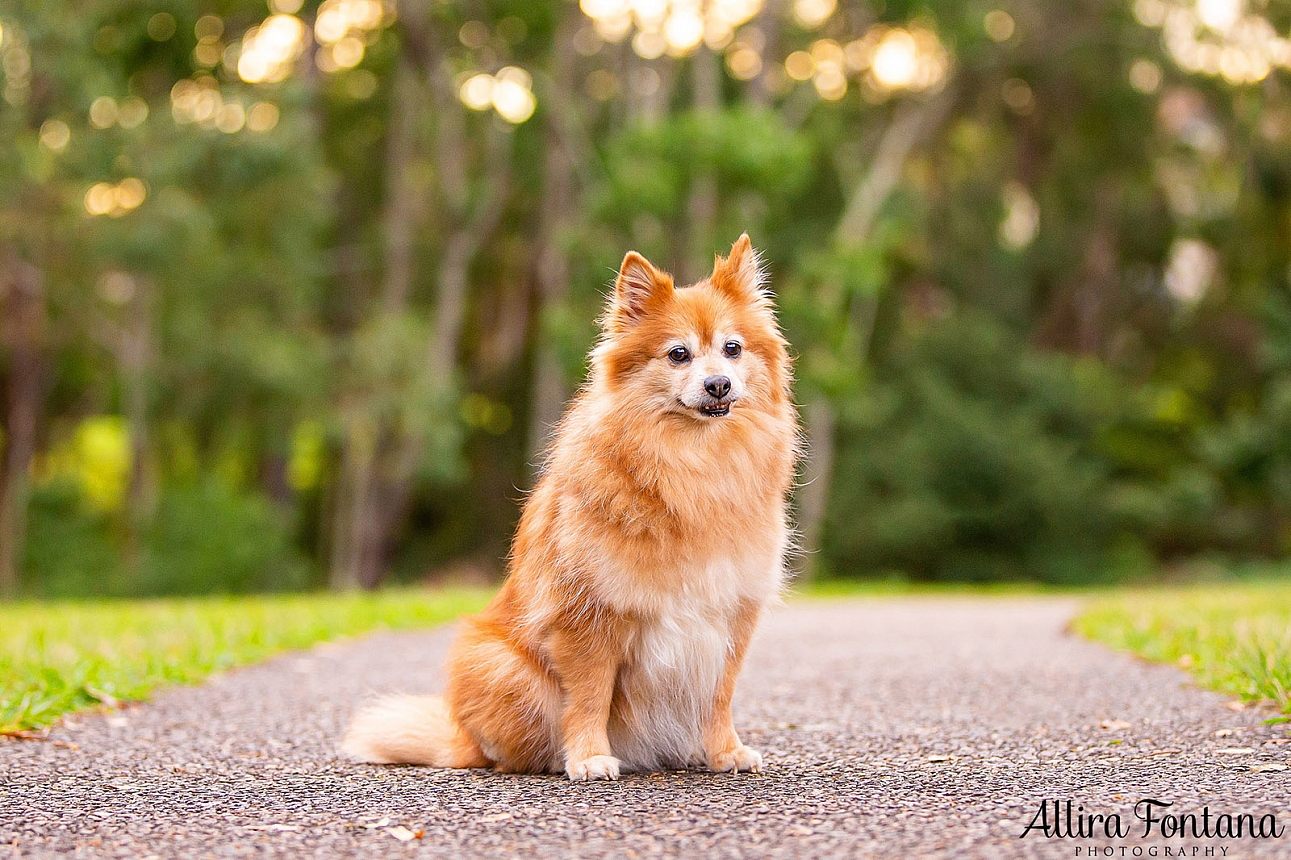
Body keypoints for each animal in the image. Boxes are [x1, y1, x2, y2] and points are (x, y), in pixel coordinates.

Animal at [343, 232, 795, 774]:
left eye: (732, 349)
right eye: (678, 355)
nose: (718, 383)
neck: (694, 465)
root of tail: (461, 739)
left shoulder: (730, 614)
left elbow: (719, 694)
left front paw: (725, 750)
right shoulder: (588, 617)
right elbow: (589, 697)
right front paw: (590, 757)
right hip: (500, 666)